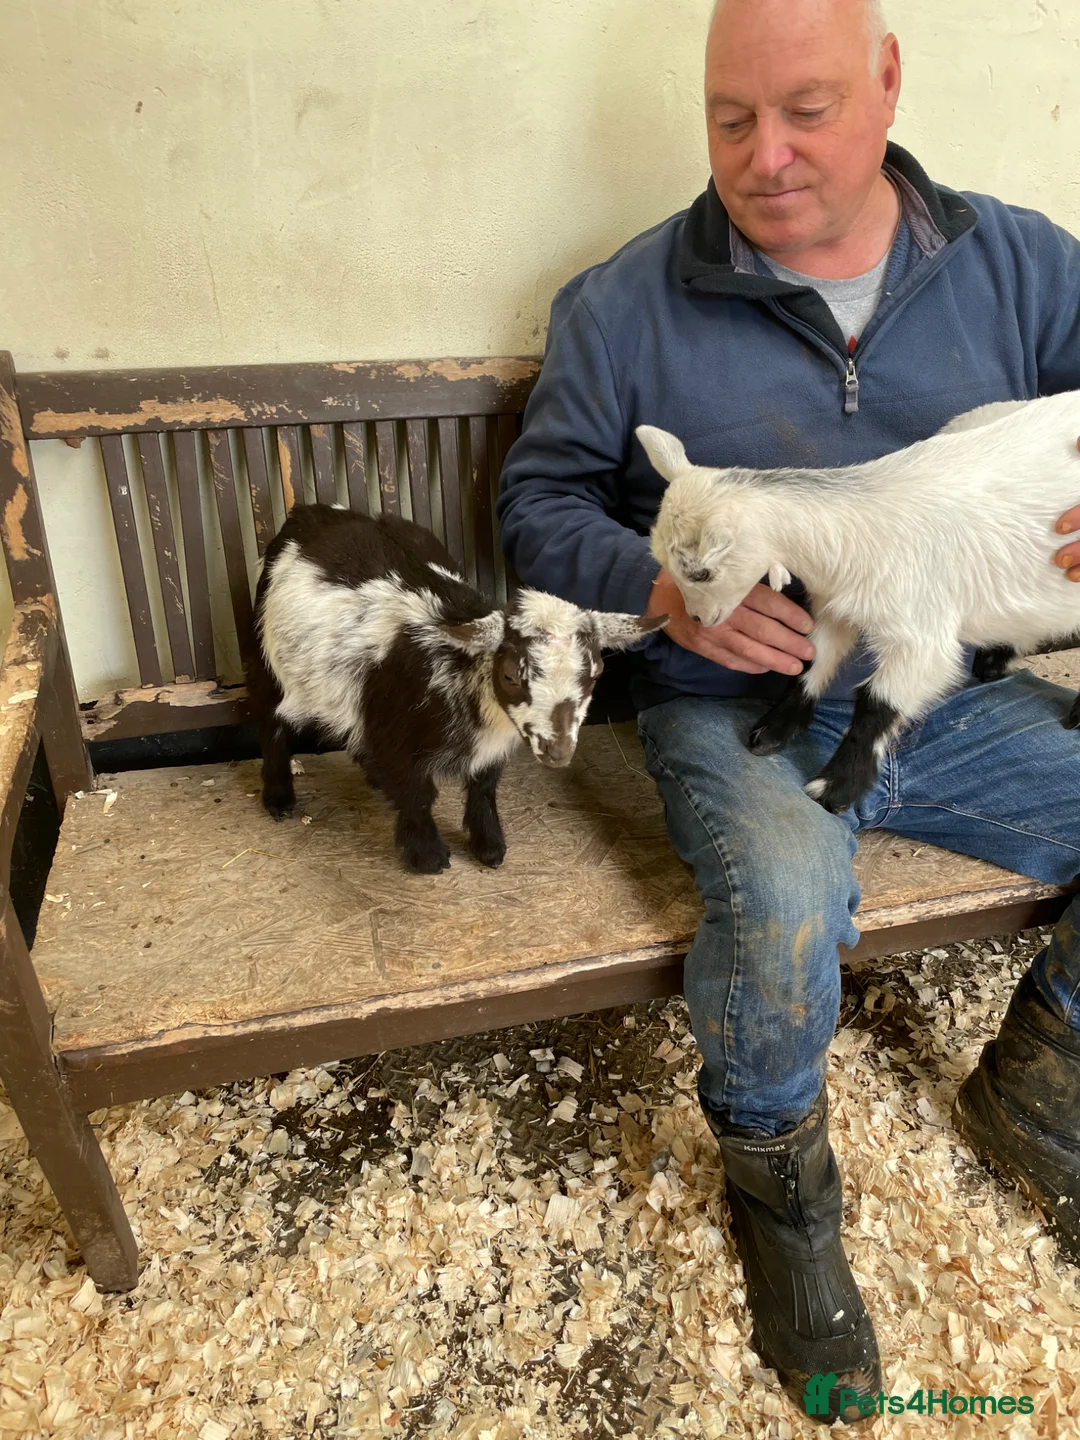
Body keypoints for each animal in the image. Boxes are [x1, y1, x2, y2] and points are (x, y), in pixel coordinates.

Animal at [246, 505, 663, 873]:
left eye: (596, 672)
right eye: (510, 676)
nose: (558, 751)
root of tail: (306, 512)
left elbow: (483, 787)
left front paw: (489, 846)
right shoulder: (395, 738)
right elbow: (417, 795)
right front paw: (427, 856)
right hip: (266, 655)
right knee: (269, 722)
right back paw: (279, 798)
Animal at [637, 391, 1080, 814]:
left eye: (701, 573)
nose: (698, 619)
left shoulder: (920, 637)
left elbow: (876, 706)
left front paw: (835, 788)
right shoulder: (833, 609)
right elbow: (810, 661)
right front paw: (776, 729)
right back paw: (995, 661)